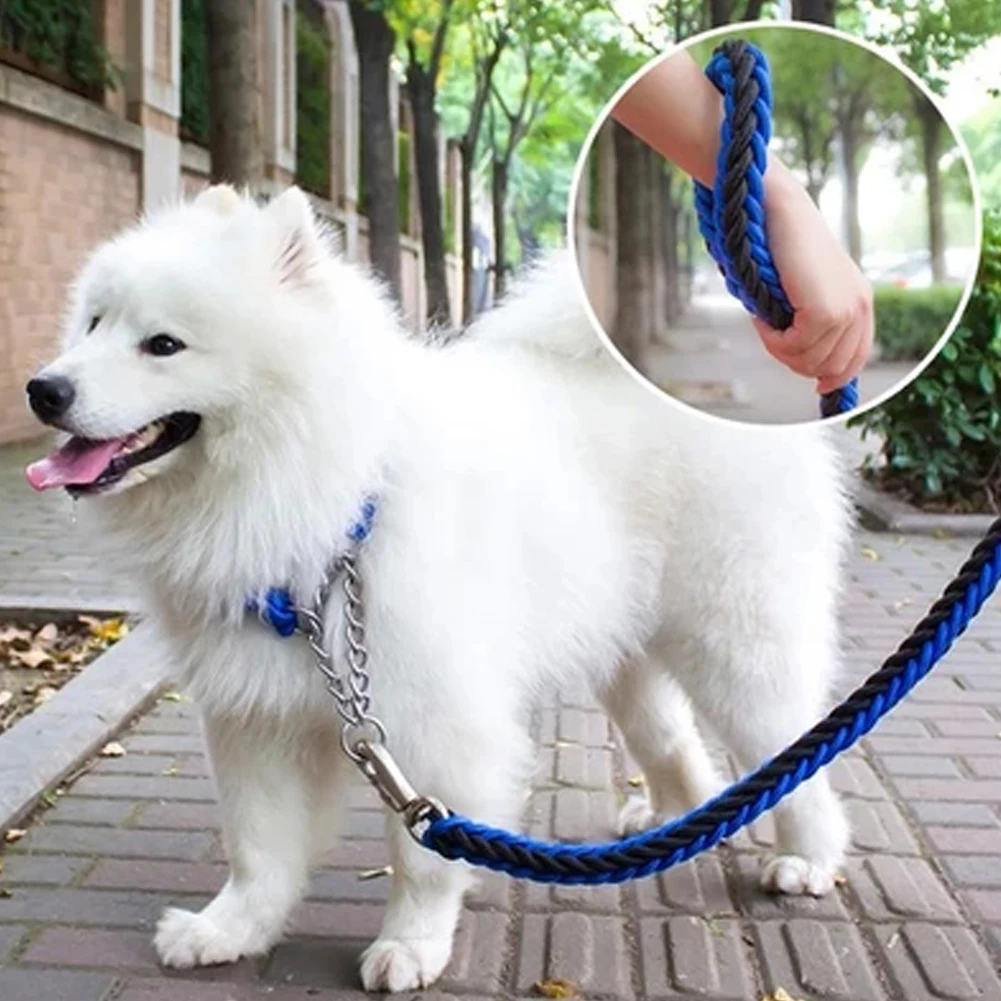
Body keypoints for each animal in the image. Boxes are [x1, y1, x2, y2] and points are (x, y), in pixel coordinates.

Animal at [25, 186, 844, 992]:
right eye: (93, 323)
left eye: (163, 345)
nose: (43, 389)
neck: (328, 506)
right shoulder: (254, 713)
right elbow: (258, 848)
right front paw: (228, 931)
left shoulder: (431, 716)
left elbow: (422, 854)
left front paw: (409, 946)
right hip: (624, 650)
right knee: (674, 741)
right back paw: (667, 825)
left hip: (736, 645)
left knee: (794, 752)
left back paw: (807, 859)